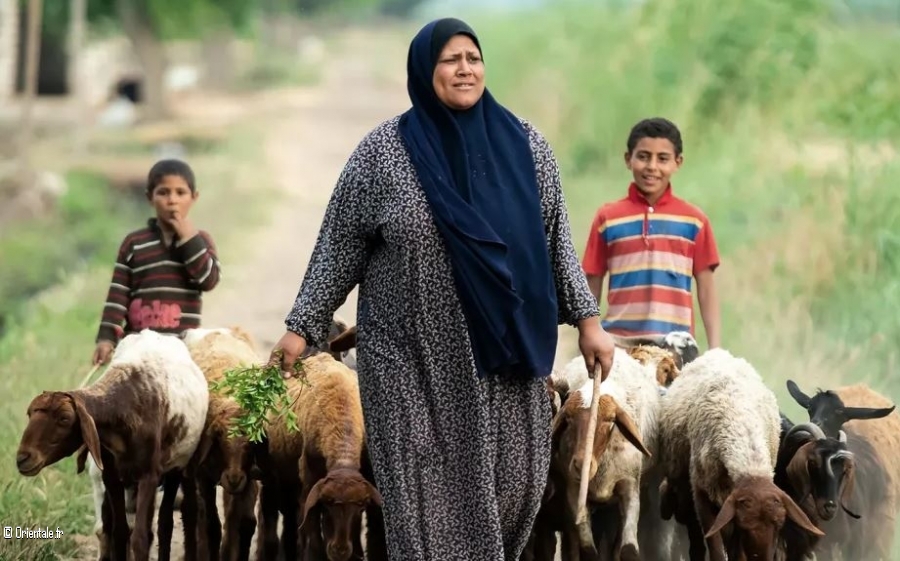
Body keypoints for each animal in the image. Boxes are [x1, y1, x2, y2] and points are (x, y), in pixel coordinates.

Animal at [16, 328, 207, 560]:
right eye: (29, 414)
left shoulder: (149, 475)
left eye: (64, 419)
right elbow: (120, 531)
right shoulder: (111, 475)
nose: (23, 458)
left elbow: (141, 538)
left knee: (166, 524)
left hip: (176, 468)